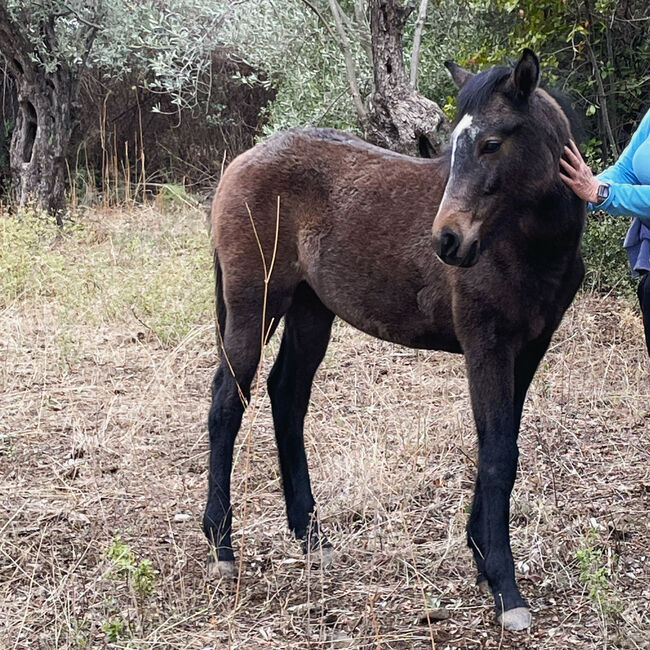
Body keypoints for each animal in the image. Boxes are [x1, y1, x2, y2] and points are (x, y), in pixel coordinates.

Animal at [202, 50, 584, 628]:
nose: (447, 240)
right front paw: (504, 587)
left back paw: (311, 536)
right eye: (454, 145)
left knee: (286, 396)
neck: (523, 244)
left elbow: (499, 443)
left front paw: (481, 558)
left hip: (311, 313)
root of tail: (241, 163)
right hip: (255, 308)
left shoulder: (529, 349)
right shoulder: (487, 347)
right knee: (228, 401)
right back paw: (223, 547)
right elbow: (498, 452)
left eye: (492, 143)